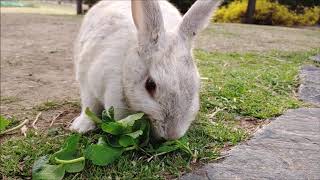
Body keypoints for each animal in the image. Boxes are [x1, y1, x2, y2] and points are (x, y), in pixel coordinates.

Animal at [70, 0, 221, 140]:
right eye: (150, 85)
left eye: (196, 86)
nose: (172, 135)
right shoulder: (88, 81)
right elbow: (89, 106)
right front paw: (80, 128)